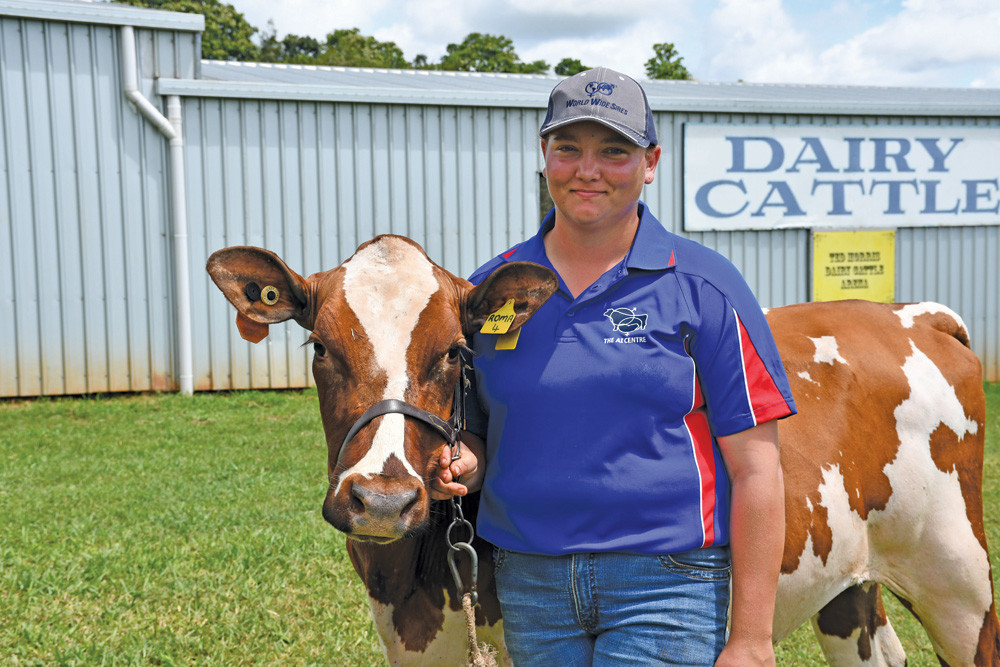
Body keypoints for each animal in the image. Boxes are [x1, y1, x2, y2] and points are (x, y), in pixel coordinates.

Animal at [207, 237, 996, 664]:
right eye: (320, 346)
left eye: (456, 351)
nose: (382, 496)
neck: (412, 580)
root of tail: (906, 312)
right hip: (847, 583)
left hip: (957, 575)